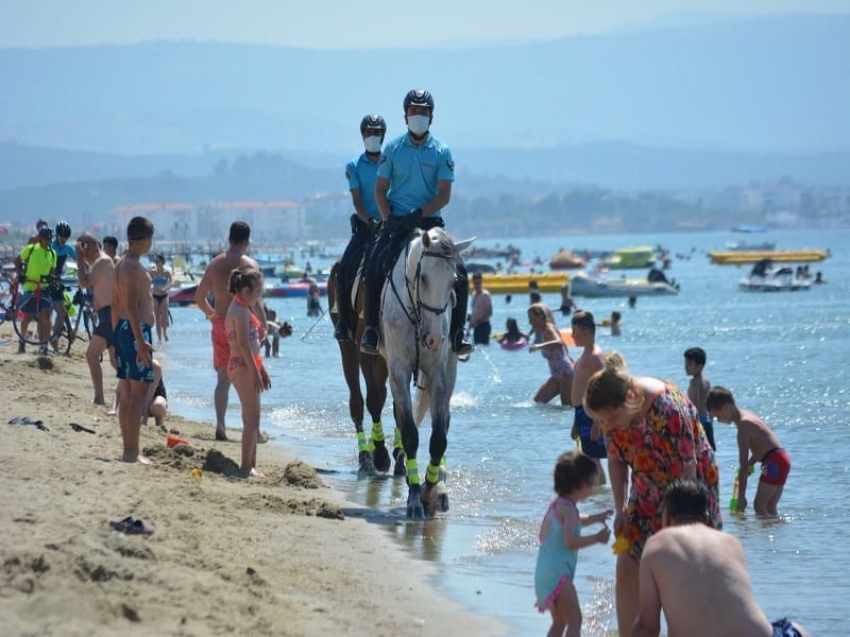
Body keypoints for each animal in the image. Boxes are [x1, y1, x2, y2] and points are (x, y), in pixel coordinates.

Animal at [328, 260, 400, 474]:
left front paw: (399, 458)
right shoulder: (365, 345)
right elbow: (374, 398)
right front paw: (382, 456)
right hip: (348, 344)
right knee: (357, 400)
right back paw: (366, 457)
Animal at [376, 226, 470, 520]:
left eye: (454, 281)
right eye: (424, 277)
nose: (434, 339)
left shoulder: (438, 370)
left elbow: (439, 437)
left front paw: (432, 490)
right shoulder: (398, 367)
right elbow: (409, 432)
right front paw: (416, 499)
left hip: (450, 366)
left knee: (445, 418)